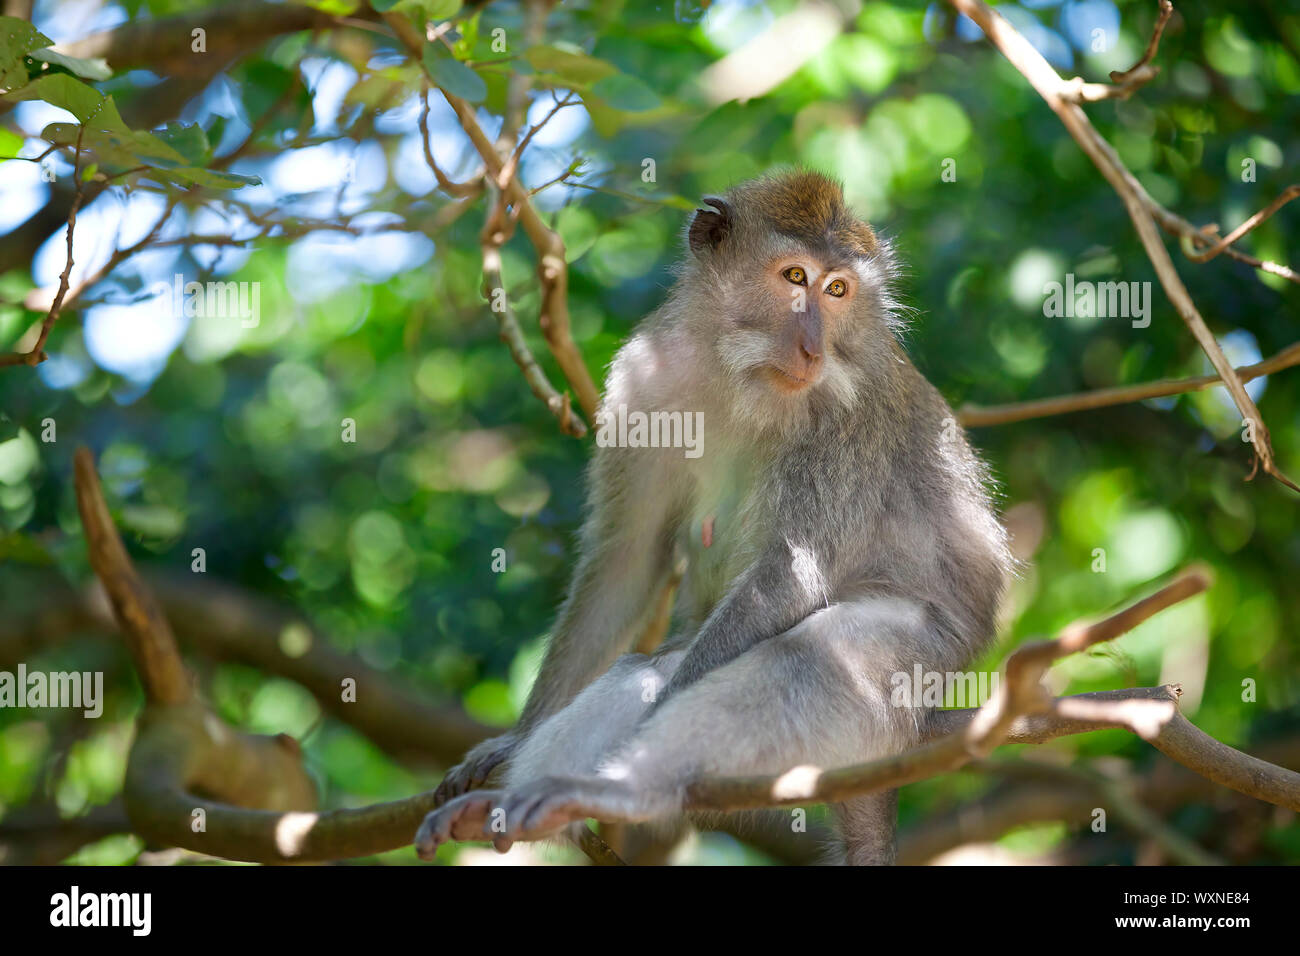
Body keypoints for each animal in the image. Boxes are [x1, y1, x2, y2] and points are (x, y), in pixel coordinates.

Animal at [415, 169, 1011, 864]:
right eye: (795, 277)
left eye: (838, 290)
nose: (814, 348)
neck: (738, 373)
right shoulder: (642, 381)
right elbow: (627, 555)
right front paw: (512, 742)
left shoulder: (848, 422)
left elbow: (789, 578)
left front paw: (643, 735)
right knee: (642, 667)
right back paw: (507, 806)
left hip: (921, 664)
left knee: (808, 659)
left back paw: (619, 789)